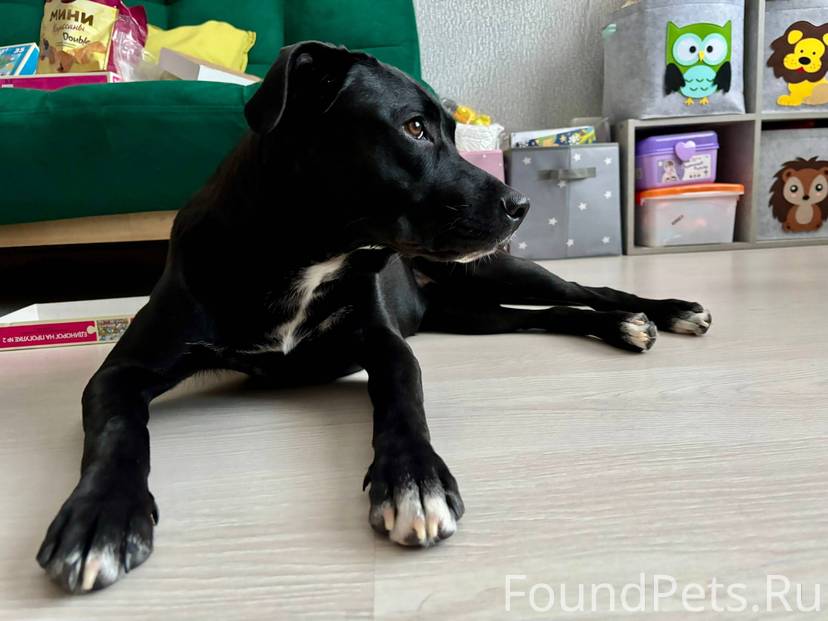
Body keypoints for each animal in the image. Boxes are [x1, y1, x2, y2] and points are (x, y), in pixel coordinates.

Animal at [36, 41, 712, 593]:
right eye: (414, 128)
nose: (520, 204)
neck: (301, 256)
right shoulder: (124, 371)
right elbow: (119, 431)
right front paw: (102, 517)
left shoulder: (385, 344)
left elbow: (402, 402)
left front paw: (414, 480)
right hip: (470, 312)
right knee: (553, 315)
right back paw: (625, 327)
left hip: (495, 273)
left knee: (587, 288)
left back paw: (662, 312)